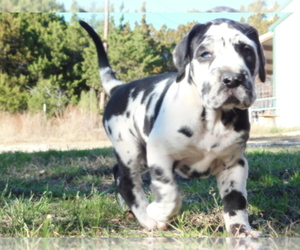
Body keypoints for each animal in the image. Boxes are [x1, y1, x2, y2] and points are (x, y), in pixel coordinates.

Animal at [79, 18, 264, 237]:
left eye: (247, 51)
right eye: (205, 54)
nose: (233, 78)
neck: (212, 120)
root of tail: (119, 88)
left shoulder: (234, 163)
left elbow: (236, 201)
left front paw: (241, 231)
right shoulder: (160, 154)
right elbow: (170, 192)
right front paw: (158, 212)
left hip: (143, 155)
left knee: (118, 173)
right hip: (129, 149)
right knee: (126, 181)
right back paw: (147, 218)